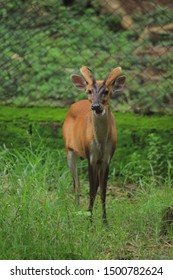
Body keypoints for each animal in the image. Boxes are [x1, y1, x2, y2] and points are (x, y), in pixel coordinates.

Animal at [62, 65, 125, 223]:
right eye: (89, 91)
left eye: (107, 91)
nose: (96, 106)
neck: (101, 142)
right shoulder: (91, 155)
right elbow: (91, 189)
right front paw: (89, 220)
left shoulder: (106, 158)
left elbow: (102, 190)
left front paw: (104, 221)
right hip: (69, 150)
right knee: (76, 183)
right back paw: (77, 208)